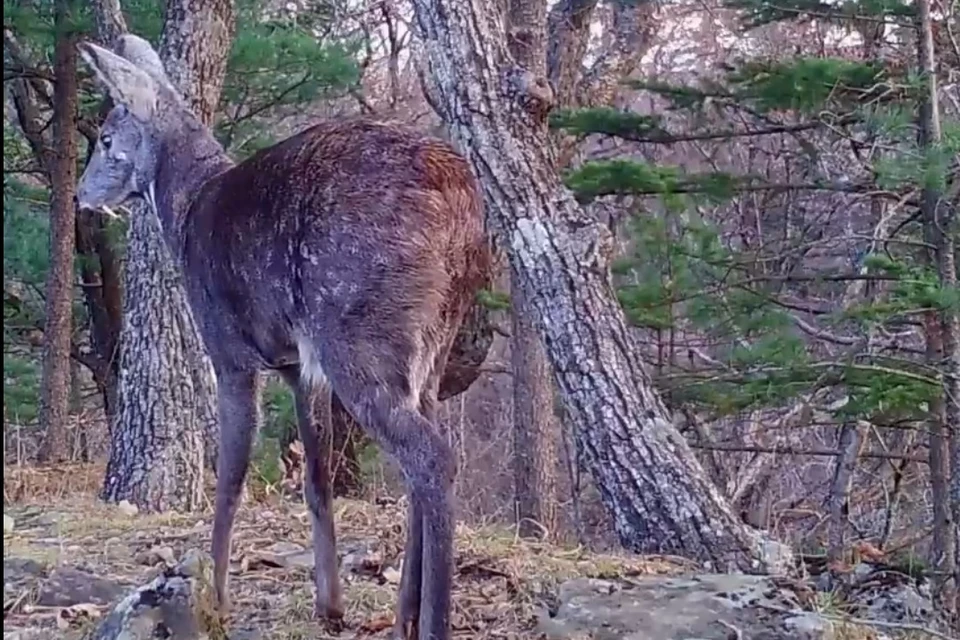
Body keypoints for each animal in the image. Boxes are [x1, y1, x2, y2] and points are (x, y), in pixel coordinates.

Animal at [74, 33, 492, 640]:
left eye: (107, 138)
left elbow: (230, 476)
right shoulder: (298, 367)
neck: (185, 213)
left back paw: (431, 621)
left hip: (357, 332)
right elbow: (316, 478)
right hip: (427, 352)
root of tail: (463, 205)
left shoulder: (227, 349)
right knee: (422, 458)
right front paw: (330, 604)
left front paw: (216, 595)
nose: (80, 194)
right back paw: (403, 617)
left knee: (431, 456)